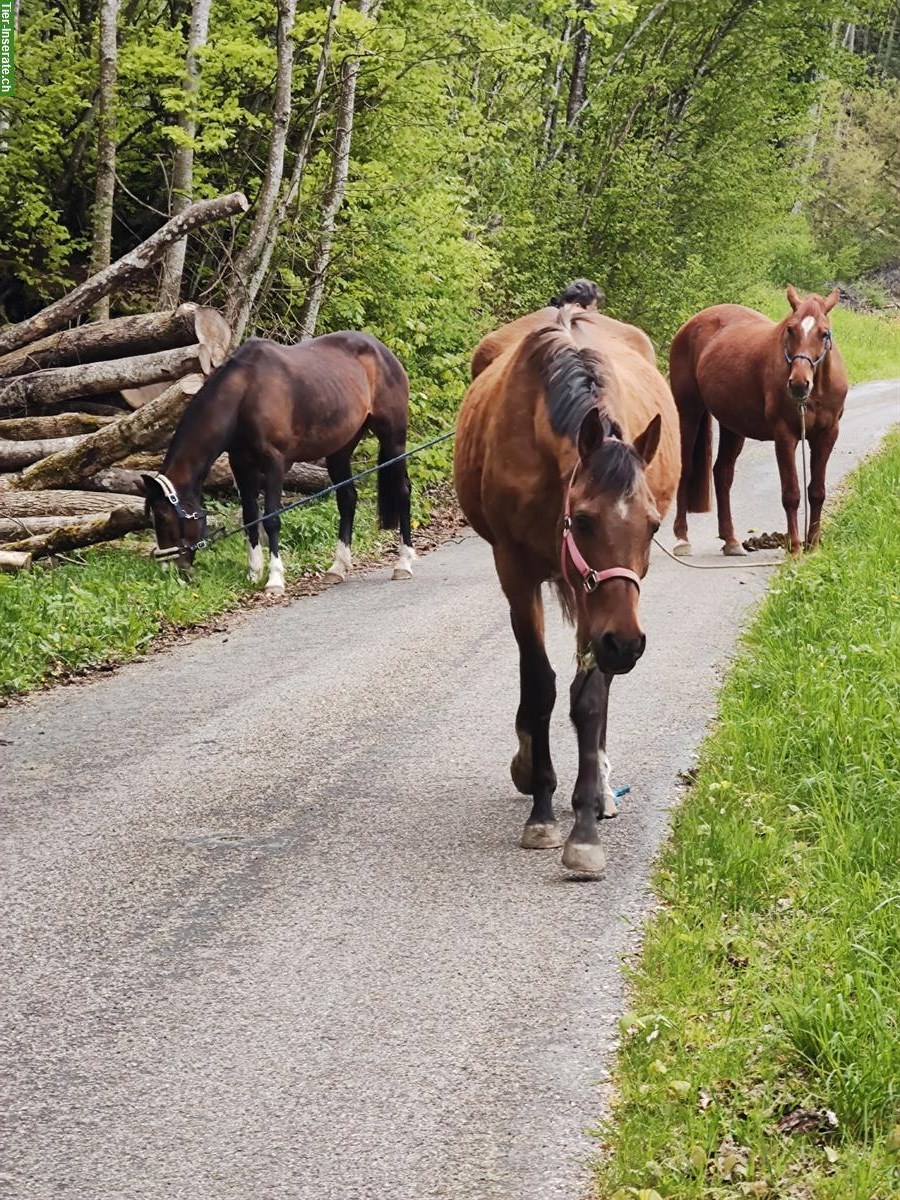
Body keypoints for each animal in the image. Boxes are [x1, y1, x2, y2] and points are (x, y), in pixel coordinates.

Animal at [144, 331, 415, 592]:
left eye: (164, 518)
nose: (169, 569)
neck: (244, 394)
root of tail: (381, 350)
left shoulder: (274, 464)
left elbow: (271, 518)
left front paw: (275, 579)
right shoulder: (241, 465)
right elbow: (250, 517)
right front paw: (254, 573)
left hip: (393, 439)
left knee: (402, 490)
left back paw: (403, 562)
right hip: (340, 450)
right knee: (347, 499)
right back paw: (337, 567)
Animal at [453, 304, 681, 878]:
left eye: (651, 525)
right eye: (582, 521)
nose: (627, 646)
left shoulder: (599, 605)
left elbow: (589, 698)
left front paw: (584, 822)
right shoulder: (516, 573)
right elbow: (539, 687)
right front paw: (541, 809)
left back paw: (600, 788)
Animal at [672, 288, 849, 554]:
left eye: (824, 333)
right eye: (790, 329)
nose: (798, 384)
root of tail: (691, 324)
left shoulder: (827, 435)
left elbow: (817, 491)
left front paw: (813, 545)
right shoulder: (784, 436)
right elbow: (791, 494)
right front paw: (795, 548)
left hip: (732, 425)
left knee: (722, 473)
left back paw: (731, 540)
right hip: (689, 412)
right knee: (687, 468)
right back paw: (682, 538)